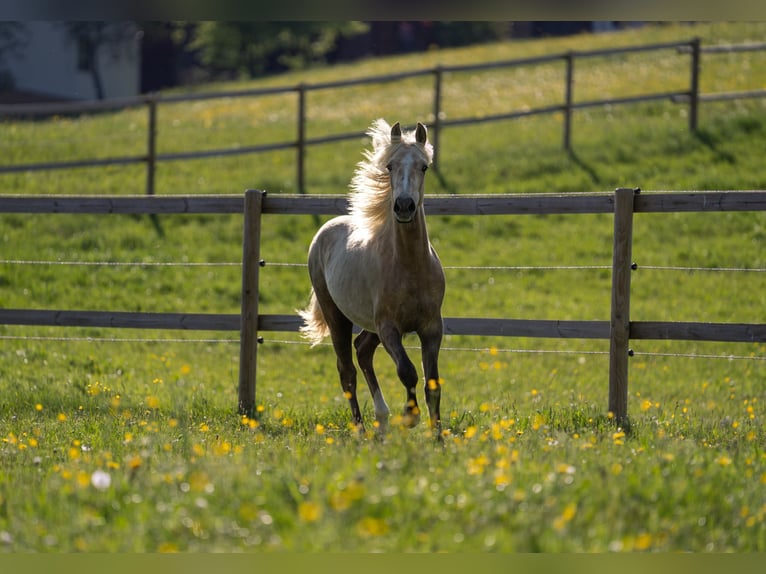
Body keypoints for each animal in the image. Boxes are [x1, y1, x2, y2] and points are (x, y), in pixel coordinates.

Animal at [298, 120, 448, 436]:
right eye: (389, 166)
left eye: (424, 166)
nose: (404, 206)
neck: (409, 268)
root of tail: (325, 231)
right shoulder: (390, 327)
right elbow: (407, 372)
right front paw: (410, 416)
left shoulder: (432, 327)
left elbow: (432, 385)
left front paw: (438, 437)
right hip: (337, 316)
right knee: (347, 370)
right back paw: (362, 429)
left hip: (371, 326)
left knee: (363, 350)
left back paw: (382, 419)